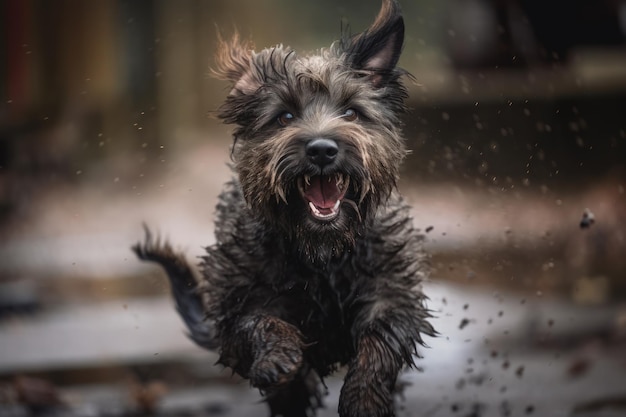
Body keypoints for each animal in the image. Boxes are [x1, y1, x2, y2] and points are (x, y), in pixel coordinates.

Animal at [133, 0, 434, 416]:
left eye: (352, 112)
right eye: (285, 116)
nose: (322, 149)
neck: (323, 251)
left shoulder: (392, 292)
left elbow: (382, 341)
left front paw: (364, 398)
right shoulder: (238, 297)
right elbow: (258, 322)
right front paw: (278, 357)